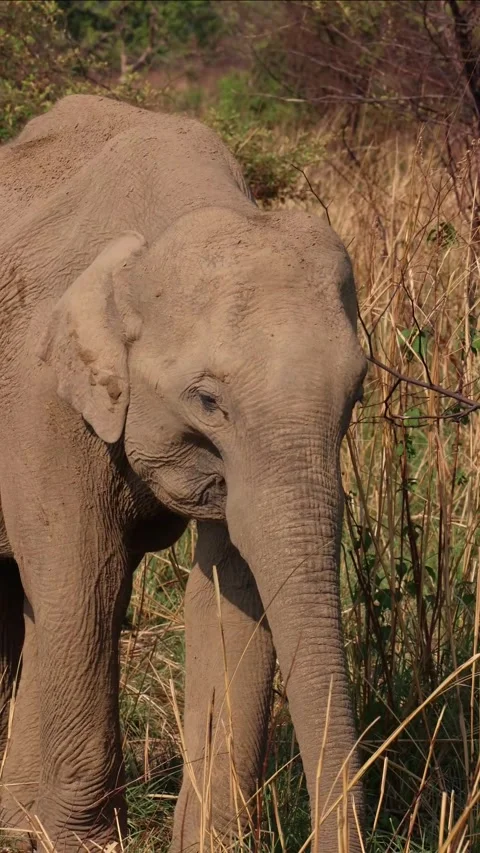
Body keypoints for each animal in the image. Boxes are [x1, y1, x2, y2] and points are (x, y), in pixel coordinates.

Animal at [0, 94, 367, 852]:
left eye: (358, 391)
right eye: (207, 400)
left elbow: (232, 589)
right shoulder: (40, 399)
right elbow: (85, 573)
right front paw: (80, 841)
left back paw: (16, 821)